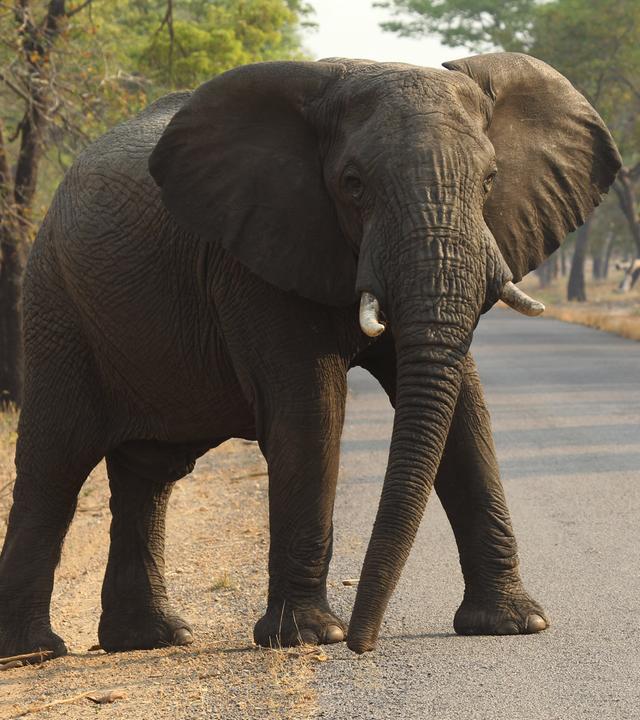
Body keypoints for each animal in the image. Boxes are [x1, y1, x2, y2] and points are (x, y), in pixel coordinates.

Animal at [0, 52, 620, 659]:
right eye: (353, 184)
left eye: (490, 179)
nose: (365, 646)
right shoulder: (255, 256)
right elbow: (311, 412)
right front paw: (312, 637)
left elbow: (466, 409)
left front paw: (516, 624)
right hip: (57, 304)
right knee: (56, 461)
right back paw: (35, 653)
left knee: (149, 473)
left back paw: (151, 639)